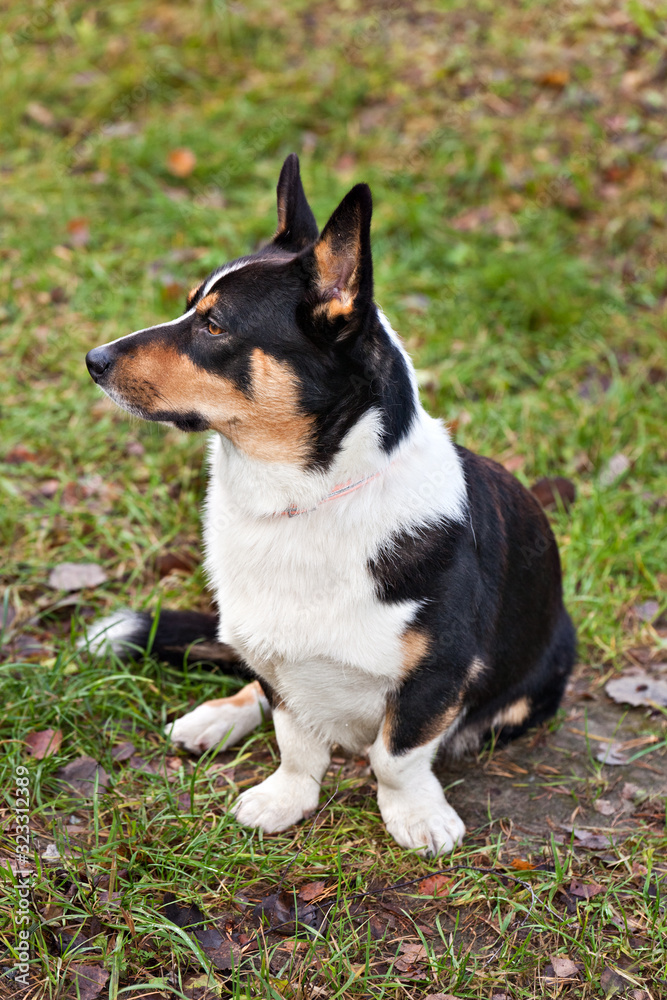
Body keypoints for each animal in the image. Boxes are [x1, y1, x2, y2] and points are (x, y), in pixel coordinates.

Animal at [82, 152, 576, 856]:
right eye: (190, 308)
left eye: (213, 324)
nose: (92, 360)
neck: (303, 498)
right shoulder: (282, 667)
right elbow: (295, 741)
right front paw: (285, 799)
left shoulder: (437, 674)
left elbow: (395, 755)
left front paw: (416, 816)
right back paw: (215, 719)